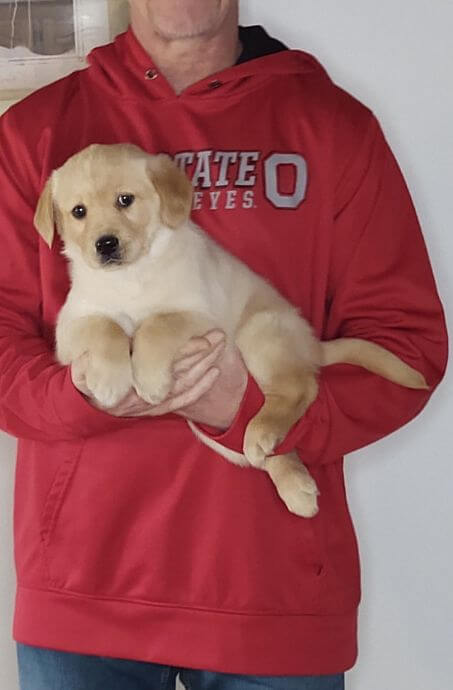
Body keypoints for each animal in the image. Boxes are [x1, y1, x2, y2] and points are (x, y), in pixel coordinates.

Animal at [33, 142, 426, 512]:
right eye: (78, 211)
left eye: (125, 200)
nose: (105, 244)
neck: (131, 276)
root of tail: (313, 344)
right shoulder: (69, 326)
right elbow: (105, 327)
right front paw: (111, 380)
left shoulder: (202, 315)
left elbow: (156, 324)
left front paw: (149, 378)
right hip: (214, 431)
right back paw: (295, 485)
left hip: (260, 332)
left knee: (299, 389)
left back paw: (262, 434)